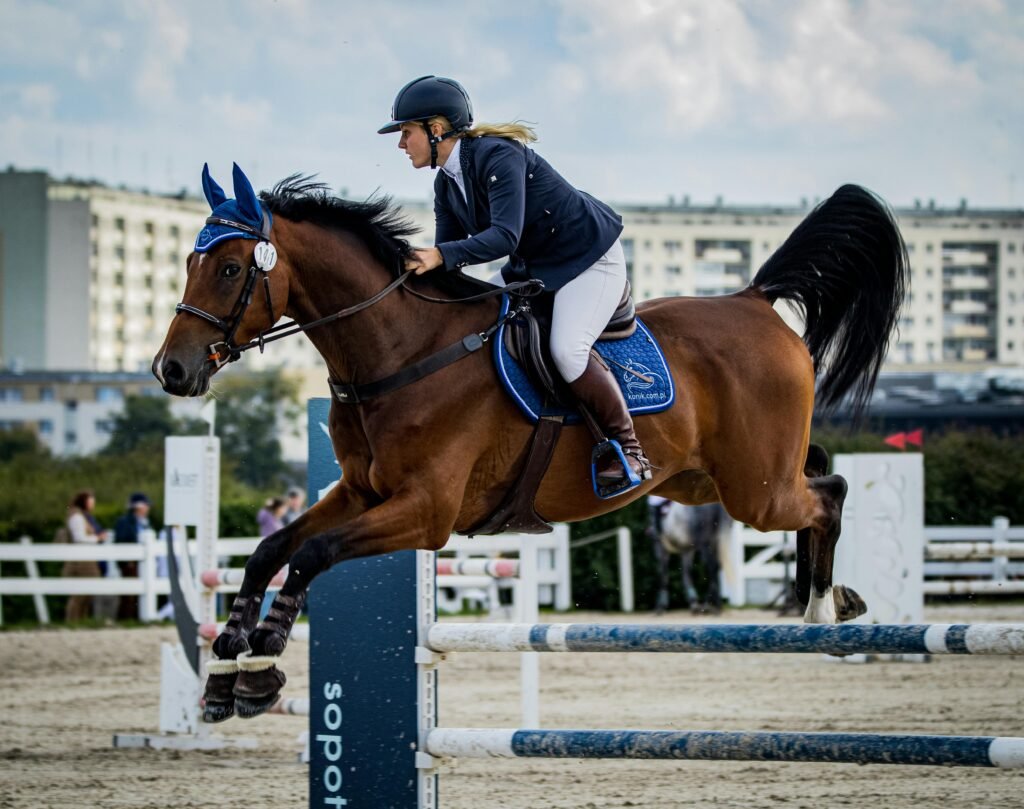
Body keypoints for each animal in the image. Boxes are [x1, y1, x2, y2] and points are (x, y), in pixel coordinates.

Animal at [153, 165, 907, 720]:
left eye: (229, 269)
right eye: (187, 262)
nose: (171, 370)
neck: (400, 351)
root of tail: (754, 299)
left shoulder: (425, 512)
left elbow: (312, 553)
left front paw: (262, 664)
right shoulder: (361, 493)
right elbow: (270, 550)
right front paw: (227, 668)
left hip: (755, 492)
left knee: (829, 492)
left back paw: (822, 605)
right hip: (708, 481)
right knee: (817, 472)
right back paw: (831, 598)